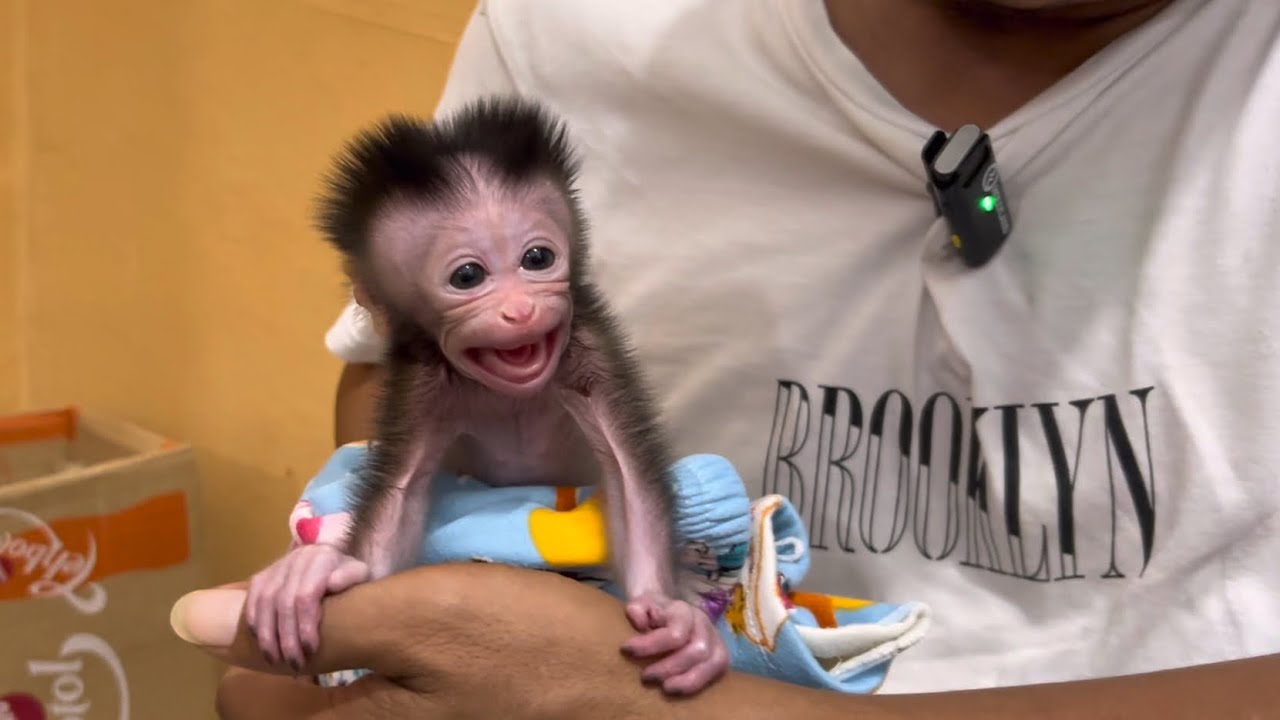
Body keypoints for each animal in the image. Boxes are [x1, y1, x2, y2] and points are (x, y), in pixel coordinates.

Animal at [245, 95, 730, 696]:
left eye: (537, 259)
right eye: (469, 276)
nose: (520, 311)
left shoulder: (588, 347)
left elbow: (629, 476)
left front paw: (672, 615)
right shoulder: (421, 375)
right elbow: (399, 496)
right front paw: (328, 570)